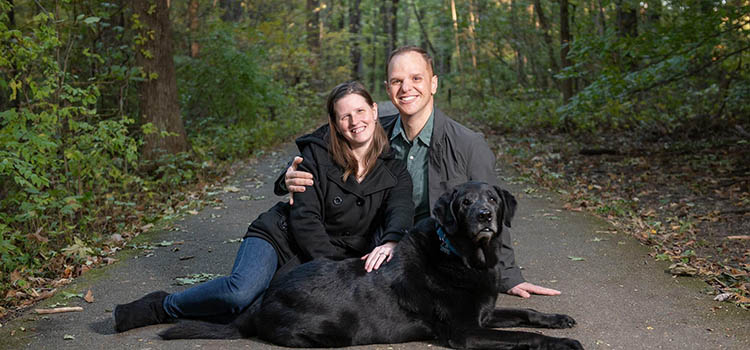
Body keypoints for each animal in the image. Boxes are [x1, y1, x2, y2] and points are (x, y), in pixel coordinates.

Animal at [162, 182, 584, 348]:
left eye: (492, 199)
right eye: (465, 202)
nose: (484, 216)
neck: (463, 257)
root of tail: (260, 302)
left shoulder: (483, 314)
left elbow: (526, 314)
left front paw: (558, 320)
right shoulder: (465, 332)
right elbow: (522, 335)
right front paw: (563, 342)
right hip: (331, 333)